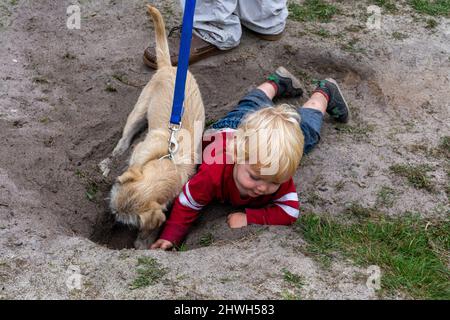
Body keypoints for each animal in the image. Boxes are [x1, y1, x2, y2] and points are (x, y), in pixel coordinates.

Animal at [109, 6, 206, 239]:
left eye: (124, 221)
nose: (111, 220)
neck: (168, 160)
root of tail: (169, 66)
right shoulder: (139, 152)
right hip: (138, 110)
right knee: (125, 136)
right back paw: (115, 154)